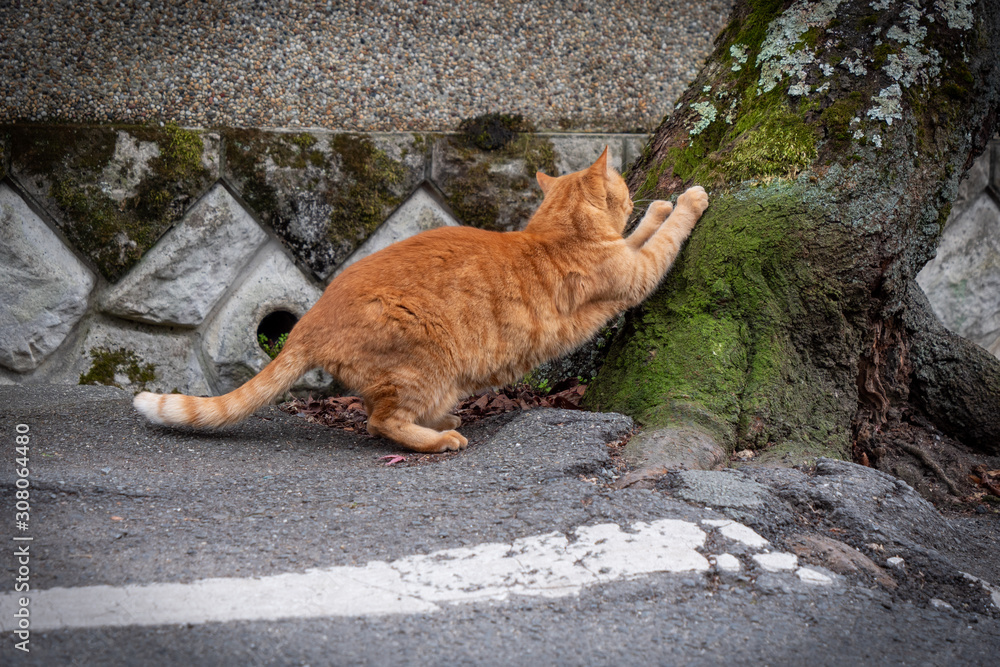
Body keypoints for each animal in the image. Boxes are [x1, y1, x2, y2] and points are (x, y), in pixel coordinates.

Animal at [135, 149, 712, 454]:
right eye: (622, 185)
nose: (636, 192)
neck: (554, 233)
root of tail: (308, 321)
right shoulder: (635, 274)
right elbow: (660, 239)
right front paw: (685, 200)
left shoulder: (626, 257)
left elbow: (642, 235)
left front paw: (659, 207)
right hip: (427, 361)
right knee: (380, 422)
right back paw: (439, 440)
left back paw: (442, 422)